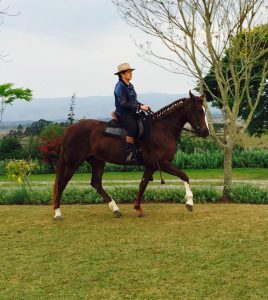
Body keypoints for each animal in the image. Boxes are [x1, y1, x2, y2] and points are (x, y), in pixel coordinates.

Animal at [52, 90, 209, 219]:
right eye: (199, 111)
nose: (206, 132)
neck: (163, 130)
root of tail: (69, 129)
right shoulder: (163, 164)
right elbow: (184, 176)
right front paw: (189, 202)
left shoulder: (151, 166)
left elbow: (143, 184)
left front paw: (138, 208)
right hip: (73, 163)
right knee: (62, 184)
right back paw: (57, 213)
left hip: (97, 162)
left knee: (96, 183)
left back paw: (115, 209)